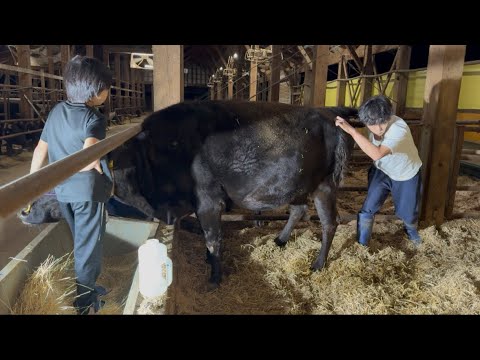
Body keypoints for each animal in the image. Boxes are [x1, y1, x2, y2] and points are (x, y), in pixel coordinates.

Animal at [19, 101, 356, 286]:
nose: (24, 210)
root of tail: (328, 114)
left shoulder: (208, 201)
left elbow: (213, 238)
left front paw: (215, 277)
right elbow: (208, 239)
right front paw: (209, 263)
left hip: (325, 185)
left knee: (329, 223)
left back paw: (318, 264)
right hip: (297, 185)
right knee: (298, 210)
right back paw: (281, 240)